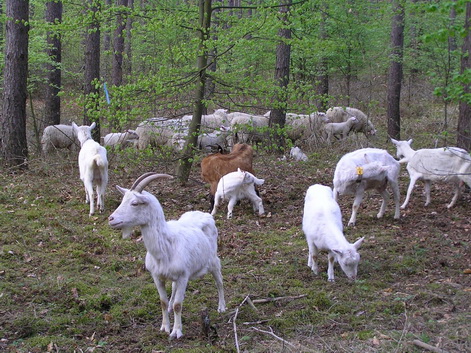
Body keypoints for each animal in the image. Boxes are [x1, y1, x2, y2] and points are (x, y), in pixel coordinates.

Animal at [108, 173, 226, 338]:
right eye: (122, 200)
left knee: (219, 280)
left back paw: (222, 307)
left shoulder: (184, 276)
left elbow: (178, 305)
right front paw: (164, 327)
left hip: (213, 259)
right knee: (173, 286)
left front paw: (176, 331)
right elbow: (162, 301)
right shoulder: (157, 276)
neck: (165, 246)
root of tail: (205, 214)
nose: (111, 219)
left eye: (135, 203)